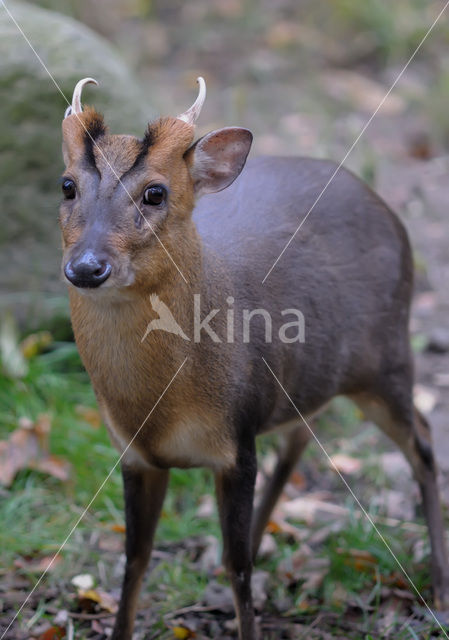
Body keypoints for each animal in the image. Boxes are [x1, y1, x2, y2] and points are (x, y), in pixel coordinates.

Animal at [60, 79, 448, 640]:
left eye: (156, 192)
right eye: (67, 186)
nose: (87, 266)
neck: (157, 408)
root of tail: (385, 205)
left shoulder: (237, 441)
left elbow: (236, 563)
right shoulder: (135, 456)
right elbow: (135, 559)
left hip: (388, 356)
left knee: (422, 440)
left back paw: (438, 588)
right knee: (301, 437)